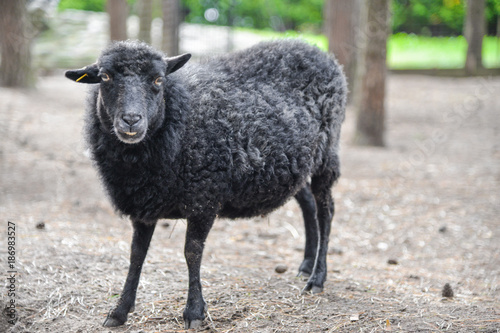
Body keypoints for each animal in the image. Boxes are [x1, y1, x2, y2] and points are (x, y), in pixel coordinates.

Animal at [65, 40, 348, 328]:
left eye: (158, 79)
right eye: (105, 77)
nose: (131, 120)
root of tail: (319, 52)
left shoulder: (204, 197)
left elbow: (192, 252)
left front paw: (194, 312)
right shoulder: (144, 203)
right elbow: (136, 254)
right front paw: (119, 311)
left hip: (327, 154)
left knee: (326, 211)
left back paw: (317, 278)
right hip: (293, 165)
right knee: (308, 206)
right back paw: (306, 265)